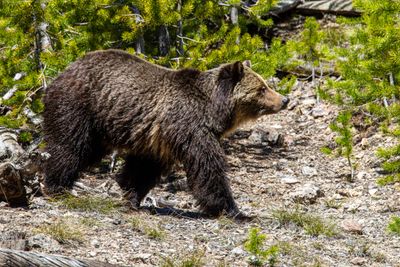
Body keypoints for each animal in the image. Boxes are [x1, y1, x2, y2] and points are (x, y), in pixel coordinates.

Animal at [43, 49, 288, 219]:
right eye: (262, 89)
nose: (284, 99)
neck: (213, 110)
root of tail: (62, 72)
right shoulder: (188, 127)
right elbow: (208, 168)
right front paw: (233, 210)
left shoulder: (158, 139)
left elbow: (143, 168)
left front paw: (131, 194)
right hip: (81, 108)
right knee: (70, 146)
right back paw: (57, 186)